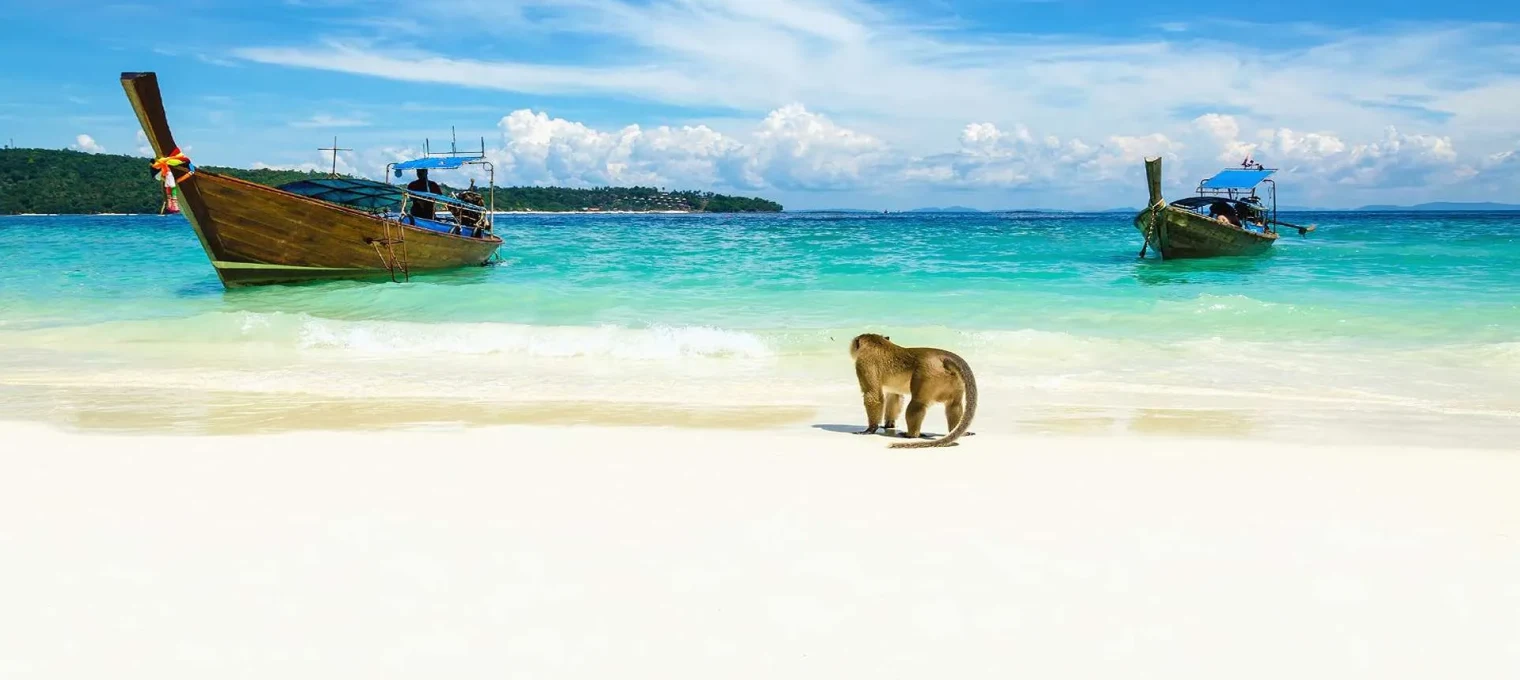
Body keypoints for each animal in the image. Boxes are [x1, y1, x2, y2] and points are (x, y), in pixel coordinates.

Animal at [848, 333, 978, 448]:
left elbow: (873, 395)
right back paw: (957, 431)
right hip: (955, 379)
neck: (877, 343)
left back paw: (912, 435)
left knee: (917, 403)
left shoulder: (864, 363)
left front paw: (871, 428)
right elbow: (895, 396)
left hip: (928, 374)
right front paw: (889, 424)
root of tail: (944, 357)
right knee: (954, 404)